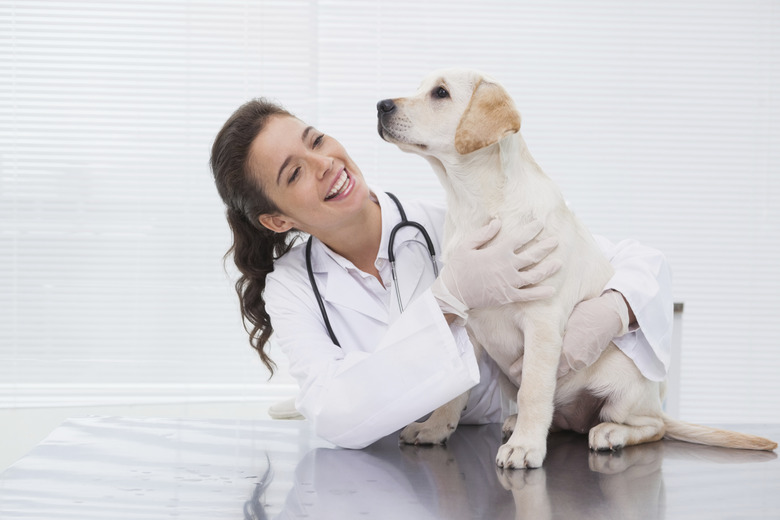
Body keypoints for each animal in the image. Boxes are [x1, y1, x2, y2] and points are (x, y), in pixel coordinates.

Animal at [376, 67, 772, 470]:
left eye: (440, 93)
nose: (381, 105)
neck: (477, 206)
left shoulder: (542, 323)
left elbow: (534, 389)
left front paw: (525, 448)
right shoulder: (466, 324)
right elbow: (454, 393)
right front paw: (433, 428)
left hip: (626, 382)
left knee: (652, 426)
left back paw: (609, 432)